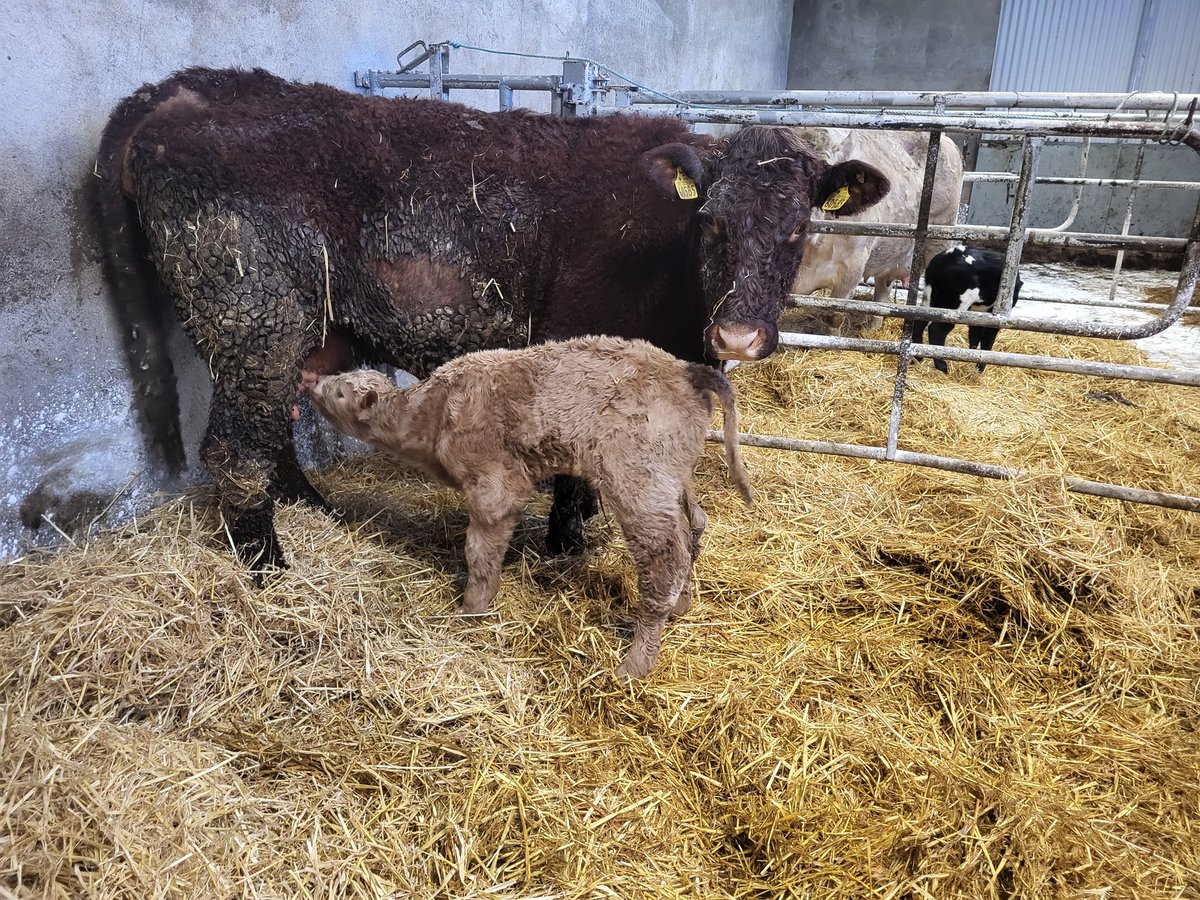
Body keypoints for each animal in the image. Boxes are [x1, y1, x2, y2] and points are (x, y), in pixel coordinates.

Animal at [92, 66, 888, 571]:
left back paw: (313, 511)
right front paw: (565, 548)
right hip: (248, 315)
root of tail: (177, 92)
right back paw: (267, 565)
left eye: (798, 228)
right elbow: (573, 471)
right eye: (713, 223)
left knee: (271, 431)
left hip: (279, 335)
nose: (739, 336)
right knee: (235, 449)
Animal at [306, 336, 752, 680]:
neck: (431, 411)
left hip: (637, 481)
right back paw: (682, 604)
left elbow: (480, 551)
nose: (312, 383)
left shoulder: (495, 486)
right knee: (692, 527)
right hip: (671, 478)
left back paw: (636, 663)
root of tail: (686, 370)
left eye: (340, 391)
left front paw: (471, 609)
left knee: (664, 558)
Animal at [790, 129, 963, 335]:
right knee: (882, 290)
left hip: (939, 241)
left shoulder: (853, 266)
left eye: (819, 184)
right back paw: (872, 328)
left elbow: (834, 316)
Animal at [915, 245, 1022, 374]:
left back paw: (918, 358)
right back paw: (942, 367)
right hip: (954, 306)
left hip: (930, 298)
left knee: (919, 321)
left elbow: (975, 333)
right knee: (937, 329)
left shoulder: (977, 313)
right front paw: (980, 368)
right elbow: (988, 338)